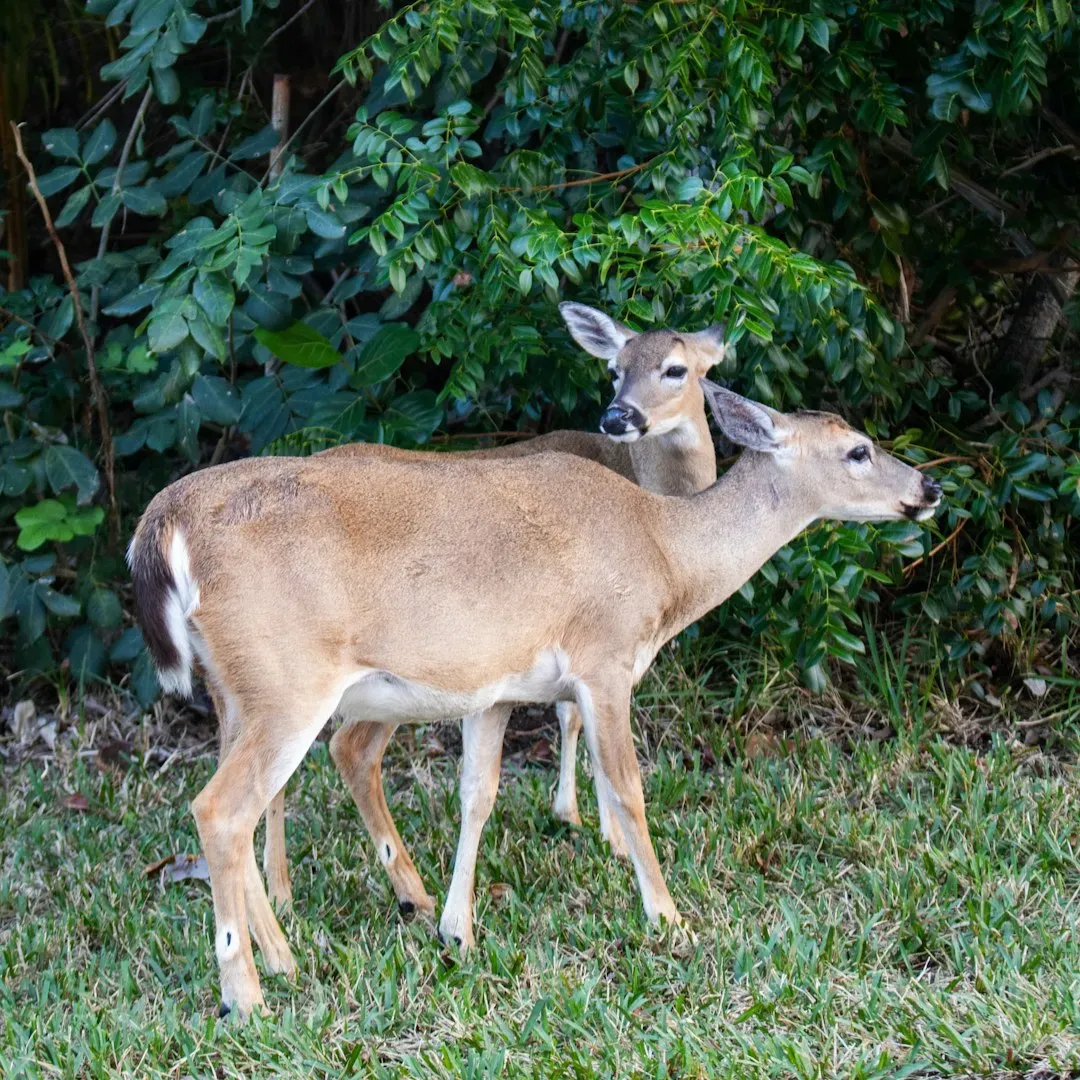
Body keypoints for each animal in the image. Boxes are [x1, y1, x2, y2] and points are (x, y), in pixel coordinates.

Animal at [128, 376, 942, 1018]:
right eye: (859, 449)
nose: (930, 488)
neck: (663, 551)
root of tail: (165, 522)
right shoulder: (605, 657)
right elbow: (628, 787)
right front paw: (670, 919)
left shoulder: (497, 685)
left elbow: (477, 793)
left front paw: (456, 929)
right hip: (289, 682)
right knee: (222, 807)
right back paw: (247, 996)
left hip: (240, 689)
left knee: (257, 797)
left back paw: (287, 959)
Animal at [256, 301, 724, 915]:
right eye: (614, 369)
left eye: (674, 369)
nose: (618, 416)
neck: (650, 491)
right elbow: (580, 720)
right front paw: (603, 832)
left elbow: (569, 715)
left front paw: (580, 821)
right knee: (342, 749)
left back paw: (283, 892)